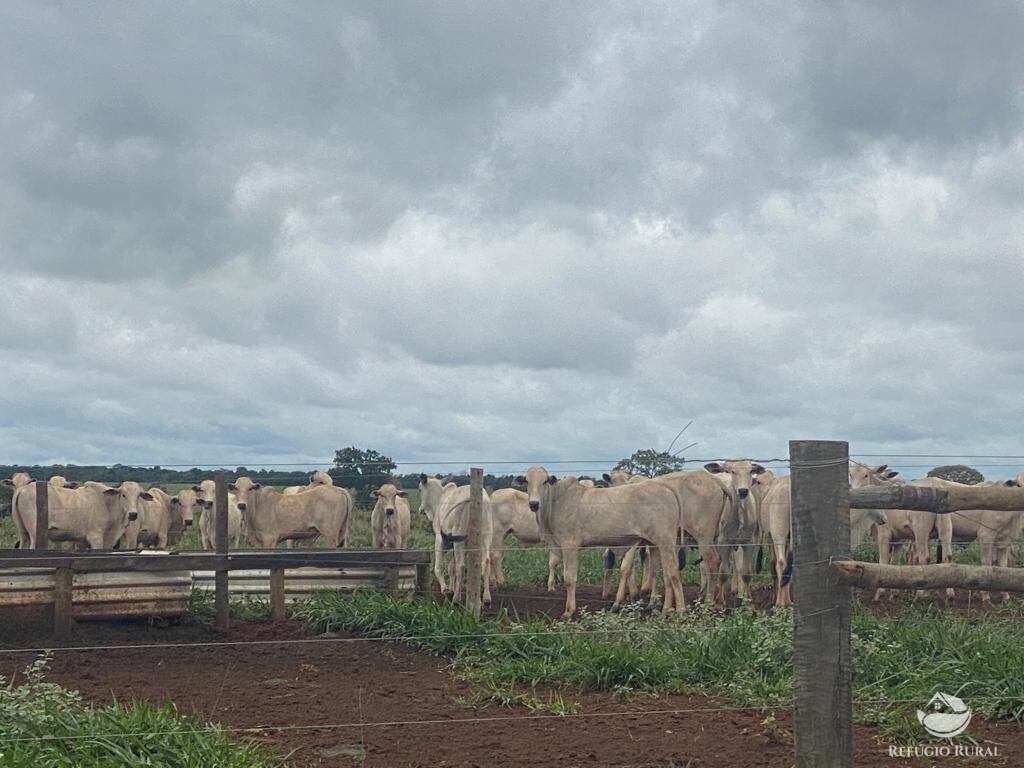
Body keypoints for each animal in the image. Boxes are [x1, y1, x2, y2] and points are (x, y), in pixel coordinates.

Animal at [417, 475, 493, 606]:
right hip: (485, 537)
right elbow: (451, 567)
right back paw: (485, 598)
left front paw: (446, 589)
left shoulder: (440, 538)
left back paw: (456, 599)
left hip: (459, 538)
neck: (439, 499)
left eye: (420, 489)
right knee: (486, 561)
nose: (420, 509)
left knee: (461, 566)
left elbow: (439, 567)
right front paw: (451, 588)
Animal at [524, 468, 684, 618]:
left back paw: (680, 610)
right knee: (662, 573)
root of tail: (666, 488)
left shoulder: (569, 545)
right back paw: (660, 608)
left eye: (545, 481)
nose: (534, 504)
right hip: (655, 544)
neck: (556, 500)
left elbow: (569, 579)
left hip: (666, 541)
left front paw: (569, 612)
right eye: (527, 481)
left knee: (673, 573)